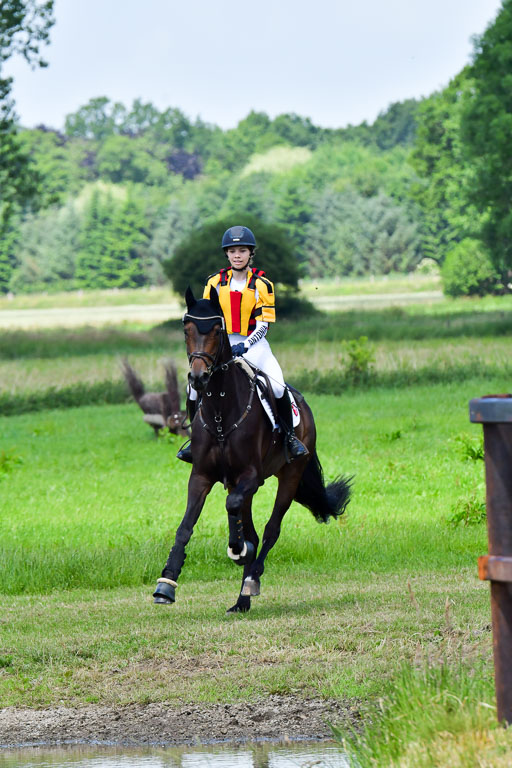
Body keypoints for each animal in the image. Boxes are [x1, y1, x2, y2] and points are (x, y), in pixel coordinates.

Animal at [152, 287, 352, 613]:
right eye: (186, 329)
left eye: (216, 329)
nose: (198, 377)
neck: (221, 410)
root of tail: (302, 404)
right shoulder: (202, 476)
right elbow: (186, 526)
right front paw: (165, 584)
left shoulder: (251, 476)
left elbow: (233, 509)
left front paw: (237, 550)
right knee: (252, 528)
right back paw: (240, 601)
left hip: (289, 476)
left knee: (270, 530)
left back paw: (250, 580)